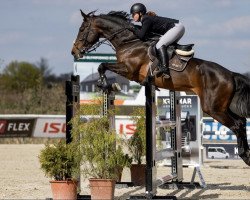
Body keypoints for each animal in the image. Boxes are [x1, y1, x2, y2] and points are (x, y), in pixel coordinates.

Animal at [71, 10, 250, 166]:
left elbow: (102, 65)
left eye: (82, 29)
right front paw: (106, 84)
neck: (129, 42)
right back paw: (246, 154)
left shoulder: (129, 70)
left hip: (212, 108)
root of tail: (230, 74)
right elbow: (102, 66)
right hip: (222, 106)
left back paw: (244, 155)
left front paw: (104, 84)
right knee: (241, 122)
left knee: (236, 125)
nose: (74, 52)